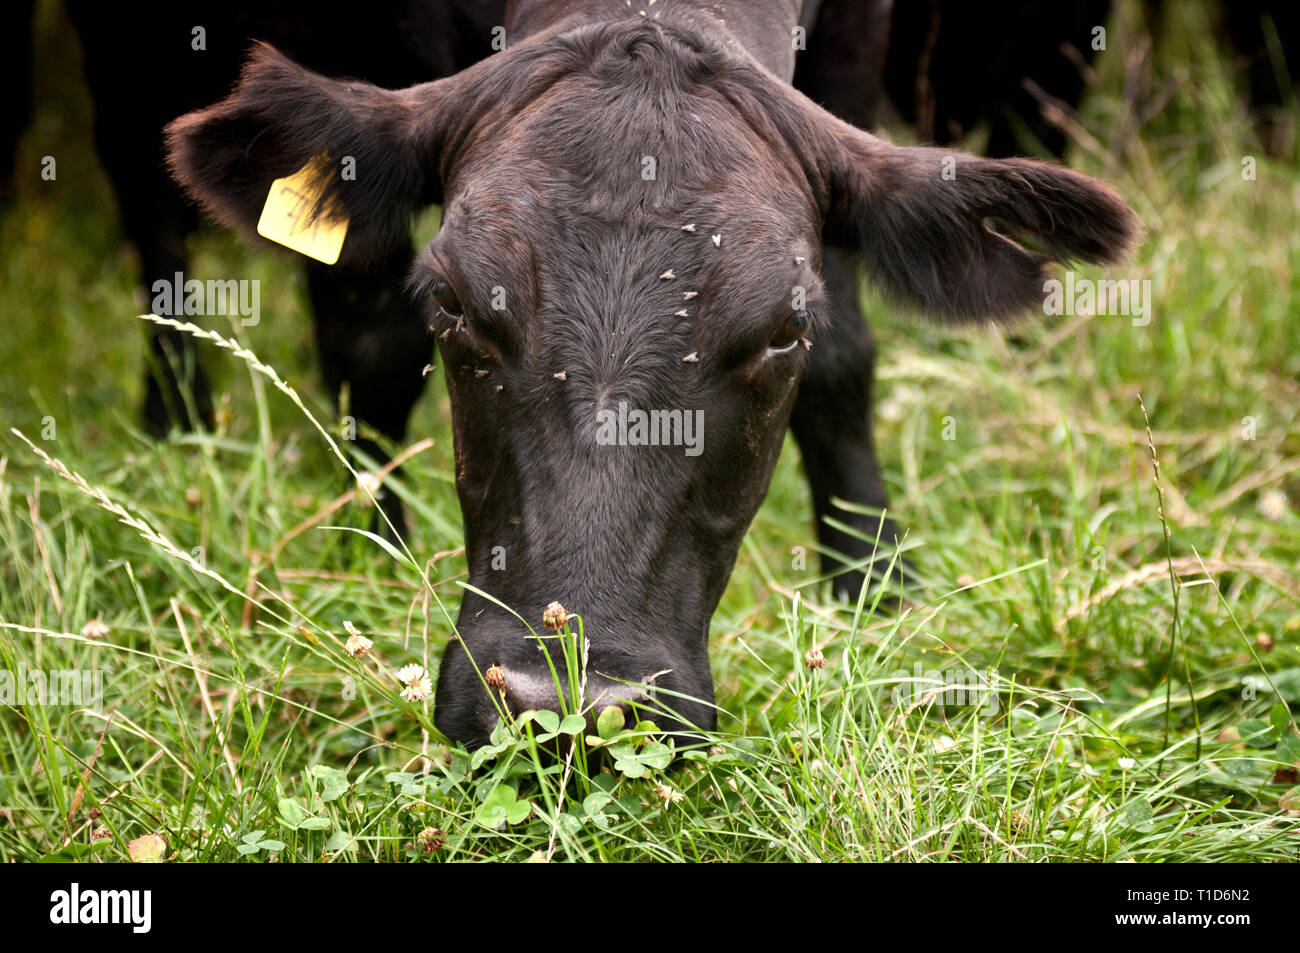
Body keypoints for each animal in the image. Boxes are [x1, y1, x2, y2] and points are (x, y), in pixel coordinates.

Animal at [167, 0, 1133, 743]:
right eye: (449, 298)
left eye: (787, 327)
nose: (567, 700)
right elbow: (369, 343)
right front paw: (367, 548)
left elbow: (846, 363)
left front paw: (874, 579)